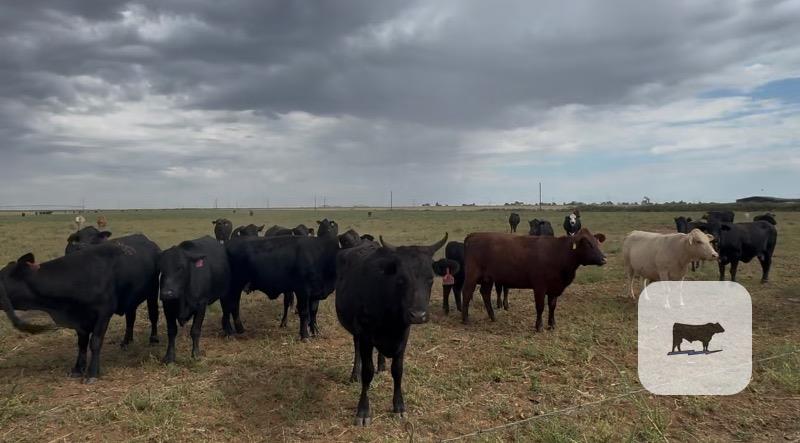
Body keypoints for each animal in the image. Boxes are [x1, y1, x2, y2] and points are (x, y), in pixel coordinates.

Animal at [0, 238, 160, 382]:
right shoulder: (80, 319)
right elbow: (82, 344)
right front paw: (78, 369)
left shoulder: (103, 313)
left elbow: (95, 342)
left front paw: (92, 373)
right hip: (130, 300)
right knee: (130, 318)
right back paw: (126, 341)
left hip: (152, 292)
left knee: (153, 315)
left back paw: (153, 339)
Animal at [335, 234, 450, 425]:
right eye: (401, 279)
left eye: (430, 279)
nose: (418, 315)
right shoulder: (365, 335)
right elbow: (368, 372)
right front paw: (363, 410)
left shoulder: (403, 336)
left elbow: (398, 370)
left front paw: (399, 406)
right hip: (356, 332)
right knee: (356, 348)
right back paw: (354, 374)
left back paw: (381, 364)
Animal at [461, 228, 606, 331]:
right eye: (587, 243)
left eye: (596, 242)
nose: (604, 259)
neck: (558, 253)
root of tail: (474, 235)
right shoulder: (540, 287)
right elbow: (540, 307)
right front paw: (539, 326)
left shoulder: (554, 287)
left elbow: (552, 306)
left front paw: (552, 324)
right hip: (472, 275)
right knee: (467, 293)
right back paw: (465, 319)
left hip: (488, 278)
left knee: (485, 294)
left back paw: (492, 317)